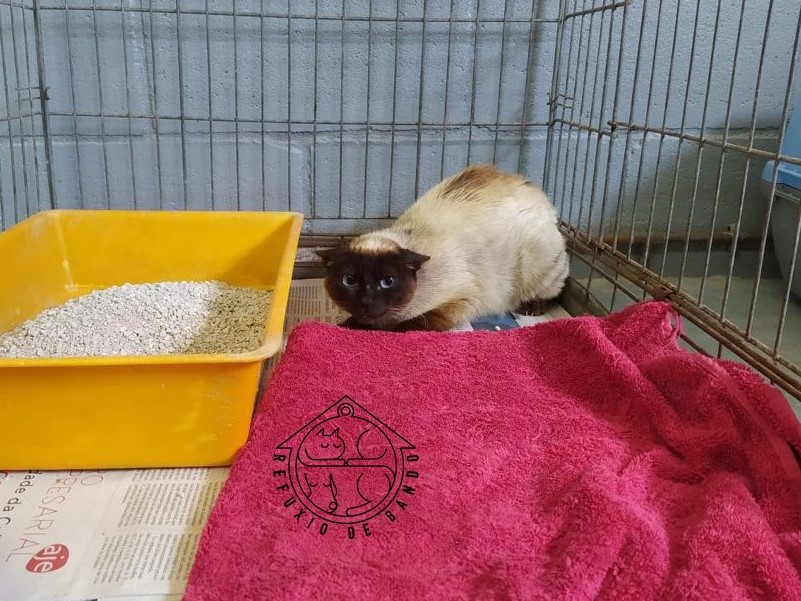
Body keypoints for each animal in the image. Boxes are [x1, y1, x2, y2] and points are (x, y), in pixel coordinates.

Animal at [316, 164, 569, 332]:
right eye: (349, 281)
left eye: (388, 282)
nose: (366, 302)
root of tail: (538, 192)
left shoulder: (458, 302)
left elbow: (407, 324)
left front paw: (355, 327)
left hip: (536, 265)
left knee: (553, 289)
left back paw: (533, 307)